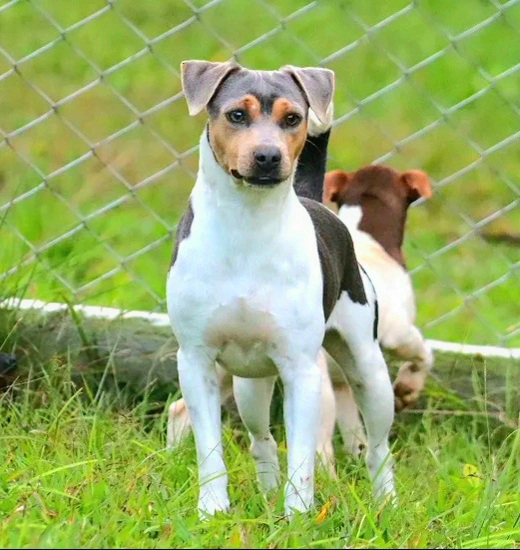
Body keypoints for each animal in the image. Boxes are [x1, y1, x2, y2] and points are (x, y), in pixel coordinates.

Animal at [167, 62, 394, 520]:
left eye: (292, 118)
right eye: (237, 115)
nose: (269, 157)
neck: (247, 225)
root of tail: (316, 202)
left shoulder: (301, 371)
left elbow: (303, 457)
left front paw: (299, 516)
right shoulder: (196, 362)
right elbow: (209, 449)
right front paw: (213, 510)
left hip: (369, 370)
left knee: (379, 446)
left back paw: (387, 502)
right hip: (249, 384)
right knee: (262, 440)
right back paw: (268, 493)